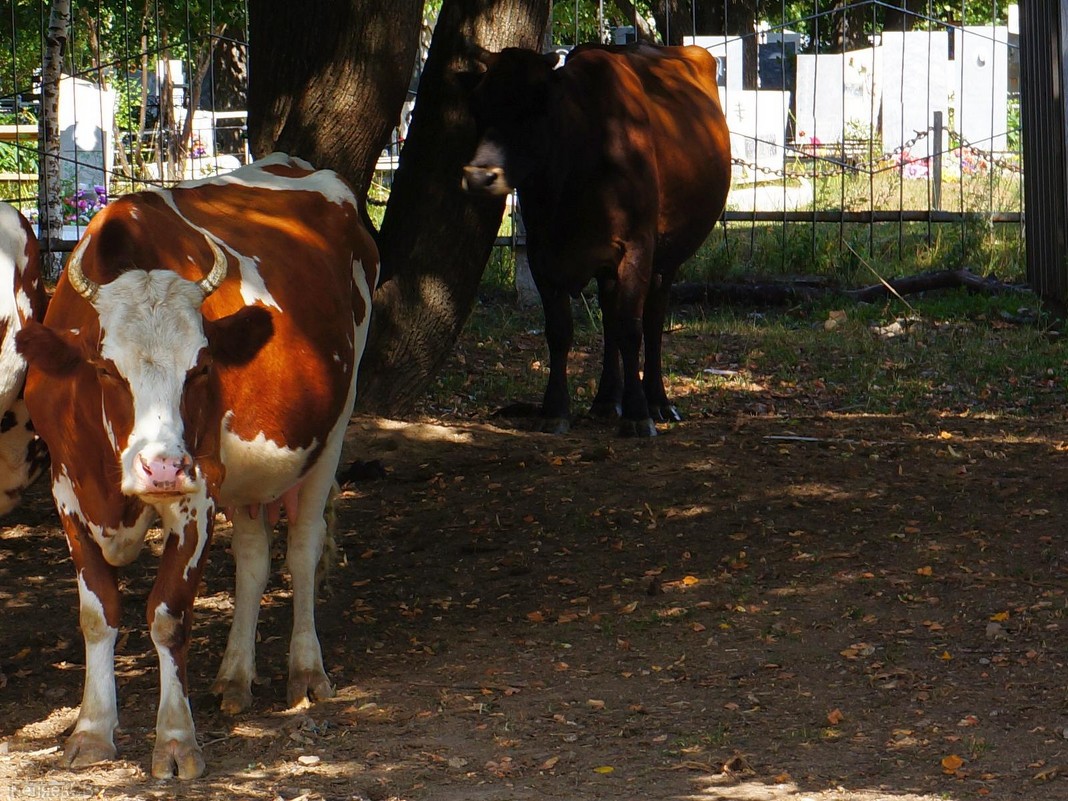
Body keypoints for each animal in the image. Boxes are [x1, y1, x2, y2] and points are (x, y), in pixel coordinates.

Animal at [15, 153, 380, 781]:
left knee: (302, 549)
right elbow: (97, 613)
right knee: (254, 557)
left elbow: (168, 613)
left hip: (333, 425)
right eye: (106, 369)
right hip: (249, 474)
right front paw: (91, 732)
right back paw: (235, 677)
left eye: (203, 366)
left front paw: (175, 741)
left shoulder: (199, 490)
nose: (161, 469)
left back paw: (306, 671)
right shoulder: (68, 490)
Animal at [463, 44, 730, 440]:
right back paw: (606, 401)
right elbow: (560, 330)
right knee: (609, 318)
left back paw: (658, 401)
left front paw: (637, 414)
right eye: (479, 103)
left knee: (651, 319)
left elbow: (632, 329)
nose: (480, 176)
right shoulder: (541, 253)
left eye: (537, 104)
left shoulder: (637, 247)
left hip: (668, 256)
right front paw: (554, 410)